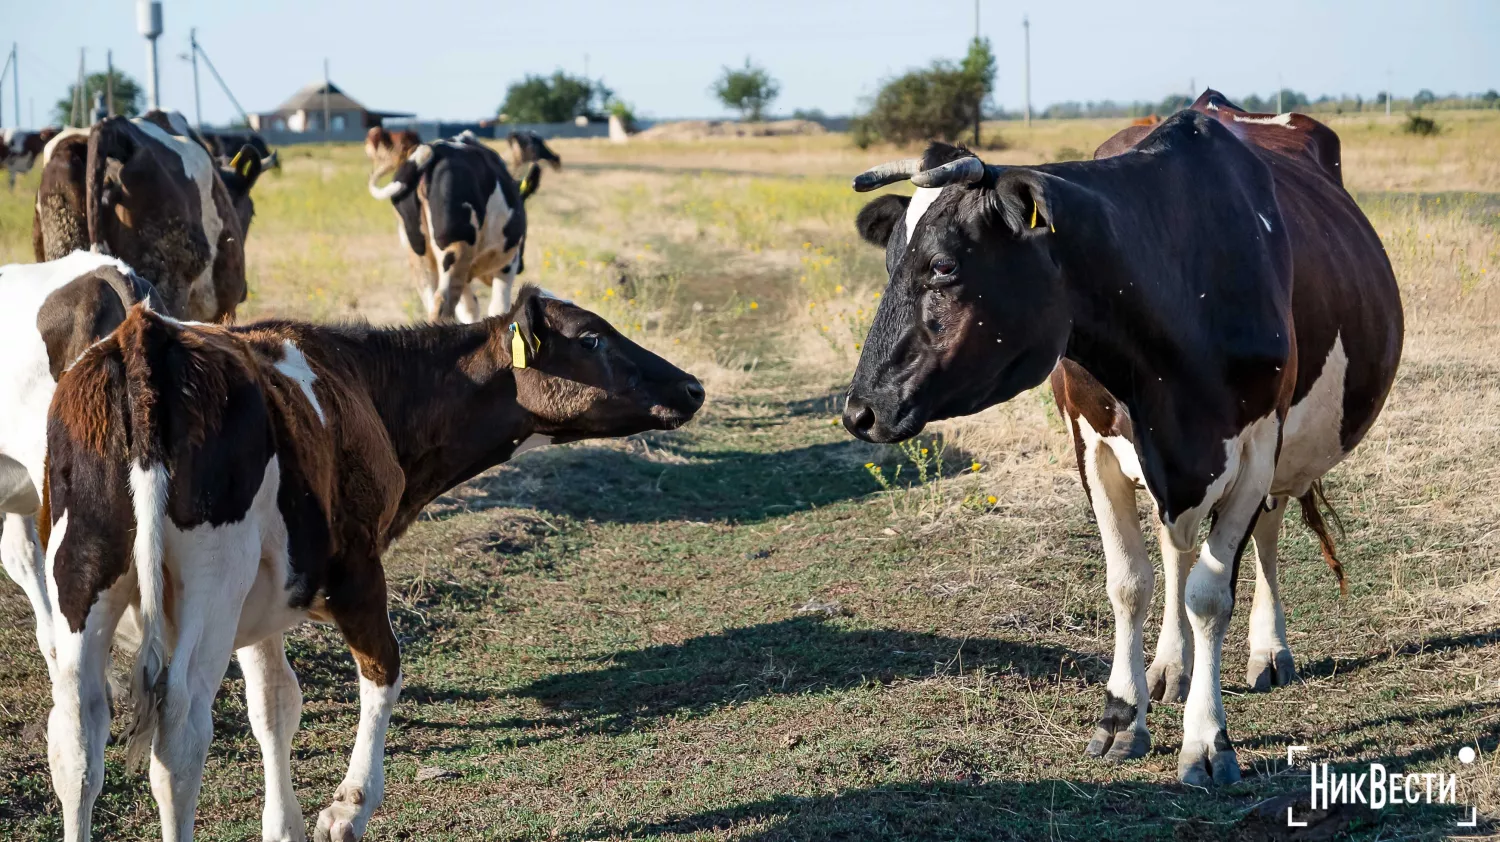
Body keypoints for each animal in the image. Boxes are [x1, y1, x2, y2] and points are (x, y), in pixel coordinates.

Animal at [41, 283, 705, 840]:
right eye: (591, 338)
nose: (693, 386)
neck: (367, 387)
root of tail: (146, 334)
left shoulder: (262, 601)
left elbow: (274, 705)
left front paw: (284, 825)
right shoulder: (355, 570)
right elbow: (383, 670)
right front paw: (348, 807)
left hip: (82, 571)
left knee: (76, 736)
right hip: (212, 577)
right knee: (179, 728)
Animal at [366, 130, 537, 321]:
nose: (522, 267)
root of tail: (435, 149)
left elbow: (470, 309)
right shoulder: (507, 265)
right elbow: (498, 308)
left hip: (419, 254)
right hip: (457, 250)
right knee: (443, 305)